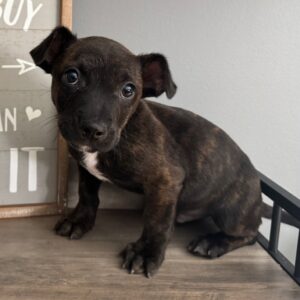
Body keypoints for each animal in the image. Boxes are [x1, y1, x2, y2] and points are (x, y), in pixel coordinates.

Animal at [31, 27, 262, 278]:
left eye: (128, 90)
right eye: (71, 77)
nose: (93, 129)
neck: (124, 132)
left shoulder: (166, 180)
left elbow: (156, 221)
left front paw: (146, 253)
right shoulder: (87, 170)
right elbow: (87, 194)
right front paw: (79, 221)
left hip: (233, 214)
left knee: (251, 234)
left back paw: (214, 242)